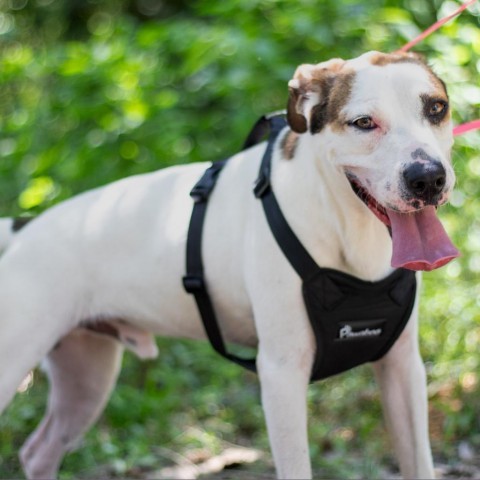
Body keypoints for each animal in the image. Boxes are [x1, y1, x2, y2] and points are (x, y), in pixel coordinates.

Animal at [0, 50, 460, 478]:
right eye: (364, 123)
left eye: (436, 108)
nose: (427, 178)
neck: (348, 230)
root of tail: (24, 230)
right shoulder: (281, 375)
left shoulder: (403, 368)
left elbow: (419, 462)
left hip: (86, 376)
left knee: (39, 450)